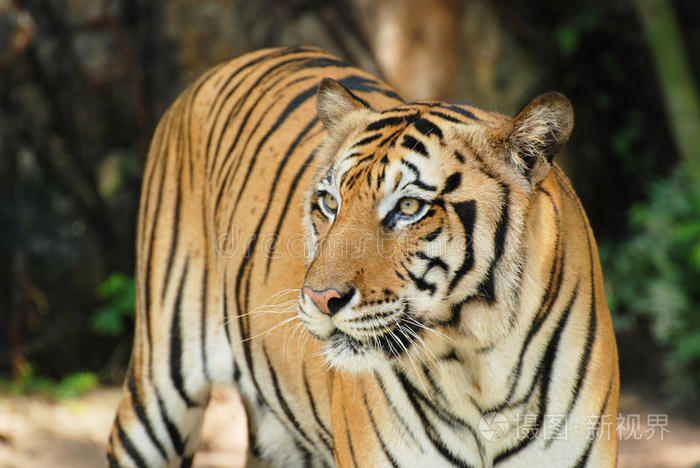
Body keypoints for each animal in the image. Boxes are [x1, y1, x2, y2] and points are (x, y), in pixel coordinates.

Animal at [107, 46, 619, 467]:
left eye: (408, 207)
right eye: (329, 202)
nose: (319, 299)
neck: (478, 364)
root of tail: (229, 62)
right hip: (157, 389)